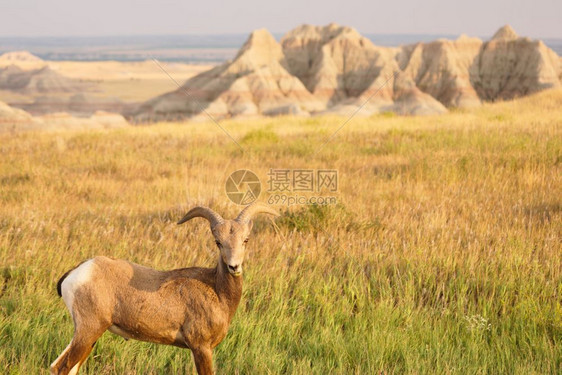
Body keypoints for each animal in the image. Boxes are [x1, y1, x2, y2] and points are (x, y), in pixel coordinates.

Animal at [50, 203, 278, 375]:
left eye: (245, 240)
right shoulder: (201, 348)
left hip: (88, 336)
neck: (216, 290)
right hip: (88, 331)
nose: (234, 267)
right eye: (218, 242)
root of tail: (77, 272)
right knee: (62, 367)